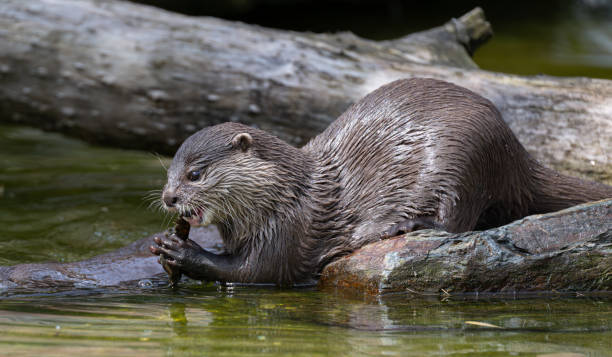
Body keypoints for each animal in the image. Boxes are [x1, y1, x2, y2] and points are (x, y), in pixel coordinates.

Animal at [149, 77, 612, 284]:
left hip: (464, 157)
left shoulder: (288, 227)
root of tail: (515, 150)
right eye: (168, 172)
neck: (285, 193)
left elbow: (253, 271)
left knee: (459, 220)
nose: (170, 198)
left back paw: (407, 224)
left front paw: (180, 249)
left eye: (195, 173)